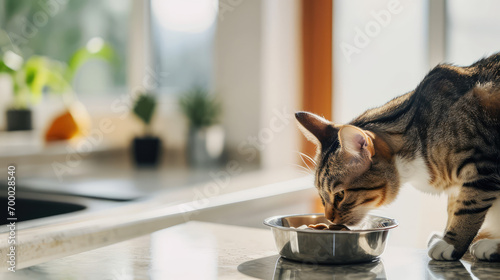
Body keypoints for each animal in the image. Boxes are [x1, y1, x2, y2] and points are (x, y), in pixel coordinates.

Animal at [296, 53, 500, 262]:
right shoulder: (460, 184)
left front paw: (451, 243)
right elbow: (453, 206)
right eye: (322, 196)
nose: (329, 218)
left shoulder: (482, 166)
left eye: (340, 195)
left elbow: (468, 208)